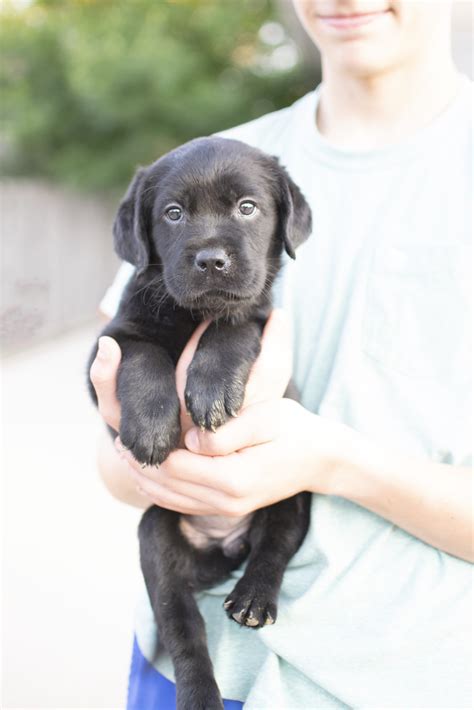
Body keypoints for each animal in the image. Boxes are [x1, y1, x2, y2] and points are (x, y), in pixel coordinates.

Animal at [88, 138, 312, 710]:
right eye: (173, 214)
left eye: (248, 208)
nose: (211, 260)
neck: (191, 314)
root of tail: (224, 545)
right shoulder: (108, 344)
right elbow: (143, 356)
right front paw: (151, 426)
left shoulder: (258, 318)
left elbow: (232, 325)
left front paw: (210, 389)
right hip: (156, 540)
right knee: (183, 630)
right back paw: (199, 694)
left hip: (291, 497)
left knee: (273, 550)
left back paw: (253, 598)